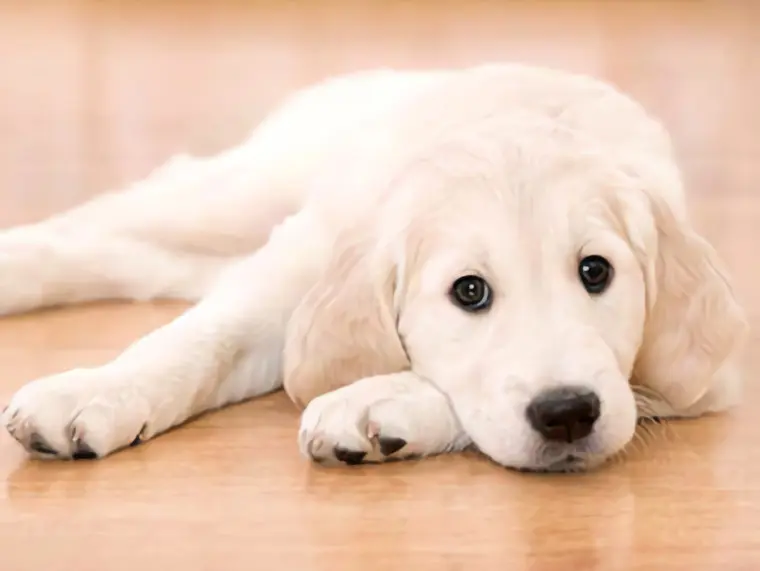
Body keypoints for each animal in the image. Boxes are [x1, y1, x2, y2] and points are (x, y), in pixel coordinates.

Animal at [0, 62, 748, 474]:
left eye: (597, 272)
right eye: (469, 291)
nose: (566, 413)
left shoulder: (704, 376)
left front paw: (378, 404)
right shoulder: (295, 265)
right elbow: (196, 340)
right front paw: (99, 390)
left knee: (115, 253)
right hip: (235, 196)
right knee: (100, 223)